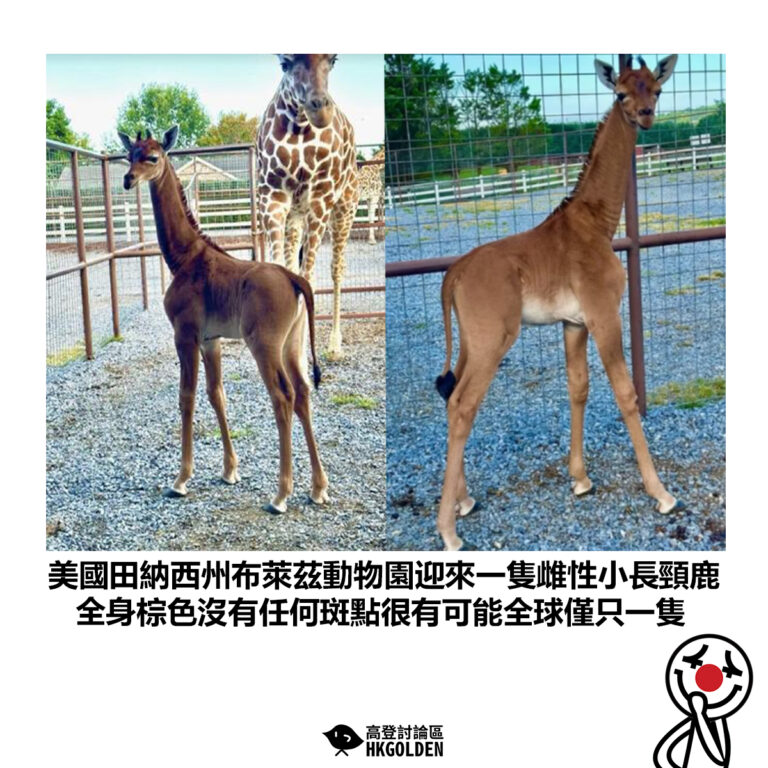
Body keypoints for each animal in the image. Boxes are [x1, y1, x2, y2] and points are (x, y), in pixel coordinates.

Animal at [118, 126, 329, 515]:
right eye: (130, 155)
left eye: (153, 157)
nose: (128, 179)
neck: (183, 258)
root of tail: (295, 279)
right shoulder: (210, 340)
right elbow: (217, 394)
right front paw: (230, 470)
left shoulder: (185, 334)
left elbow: (186, 396)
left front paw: (181, 479)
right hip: (292, 344)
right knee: (304, 392)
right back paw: (318, 488)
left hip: (265, 345)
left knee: (283, 396)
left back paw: (280, 496)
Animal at [434, 55, 681, 550]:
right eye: (620, 93)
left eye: (657, 89)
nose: (646, 116)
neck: (598, 224)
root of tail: (453, 274)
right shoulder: (605, 315)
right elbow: (626, 393)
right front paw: (661, 493)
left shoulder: (574, 323)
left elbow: (578, 388)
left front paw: (581, 479)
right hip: (493, 340)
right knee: (463, 405)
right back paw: (449, 532)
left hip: (471, 341)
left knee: (451, 397)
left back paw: (464, 501)